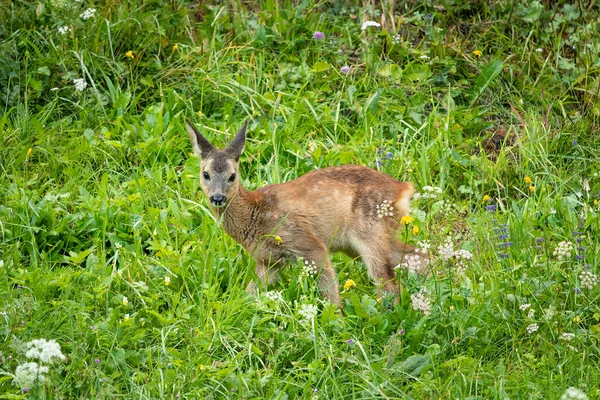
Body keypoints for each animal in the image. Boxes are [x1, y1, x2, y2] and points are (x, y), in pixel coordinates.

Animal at [185, 119, 424, 306]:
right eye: (205, 174)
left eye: (232, 176)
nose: (218, 198)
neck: (255, 214)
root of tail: (403, 189)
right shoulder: (268, 261)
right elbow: (250, 295)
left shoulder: (309, 244)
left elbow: (329, 294)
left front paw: (336, 324)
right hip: (365, 240)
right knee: (417, 257)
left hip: (369, 233)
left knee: (388, 283)